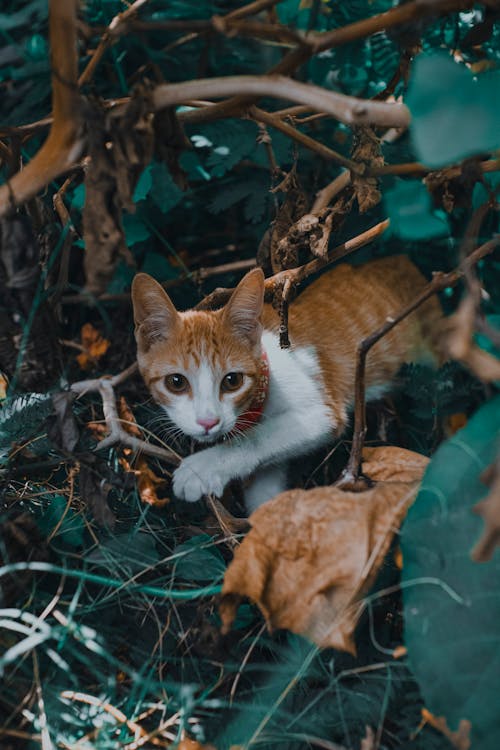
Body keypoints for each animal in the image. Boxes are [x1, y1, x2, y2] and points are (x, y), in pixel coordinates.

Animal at [131, 256, 440, 516]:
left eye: (232, 381)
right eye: (176, 382)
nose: (208, 422)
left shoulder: (322, 411)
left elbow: (258, 437)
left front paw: (204, 468)